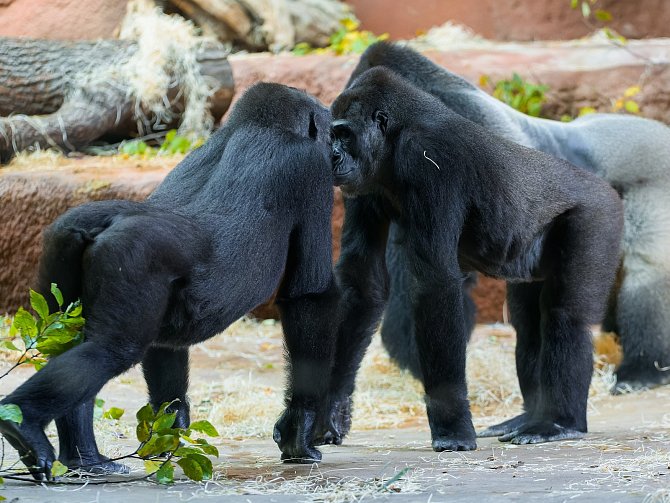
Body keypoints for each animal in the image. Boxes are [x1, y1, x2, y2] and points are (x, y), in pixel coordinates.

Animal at [0, 82, 338, 480]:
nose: (337, 151)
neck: (255, 126)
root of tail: (105, 221)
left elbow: (165, 348)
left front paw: (169, 429)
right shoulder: (312, 171)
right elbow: (309, 295)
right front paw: (299, 430)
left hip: (61, 242)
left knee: (69, 340)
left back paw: (85, 459)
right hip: (131, 255)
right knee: (111, 349)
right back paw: (24, 428)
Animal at [326, 68, 624, 452]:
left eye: (344, 135)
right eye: (331, 135)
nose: (332, 157)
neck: (395, 139)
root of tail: (606, 187)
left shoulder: (430, 160)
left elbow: (436, 286)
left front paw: (452, 426)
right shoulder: (363, 183)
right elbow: (363, 283)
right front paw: (328, 408)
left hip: (599, 212)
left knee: (566, 315)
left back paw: (559, 423)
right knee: (530, 323)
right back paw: (530, 417)